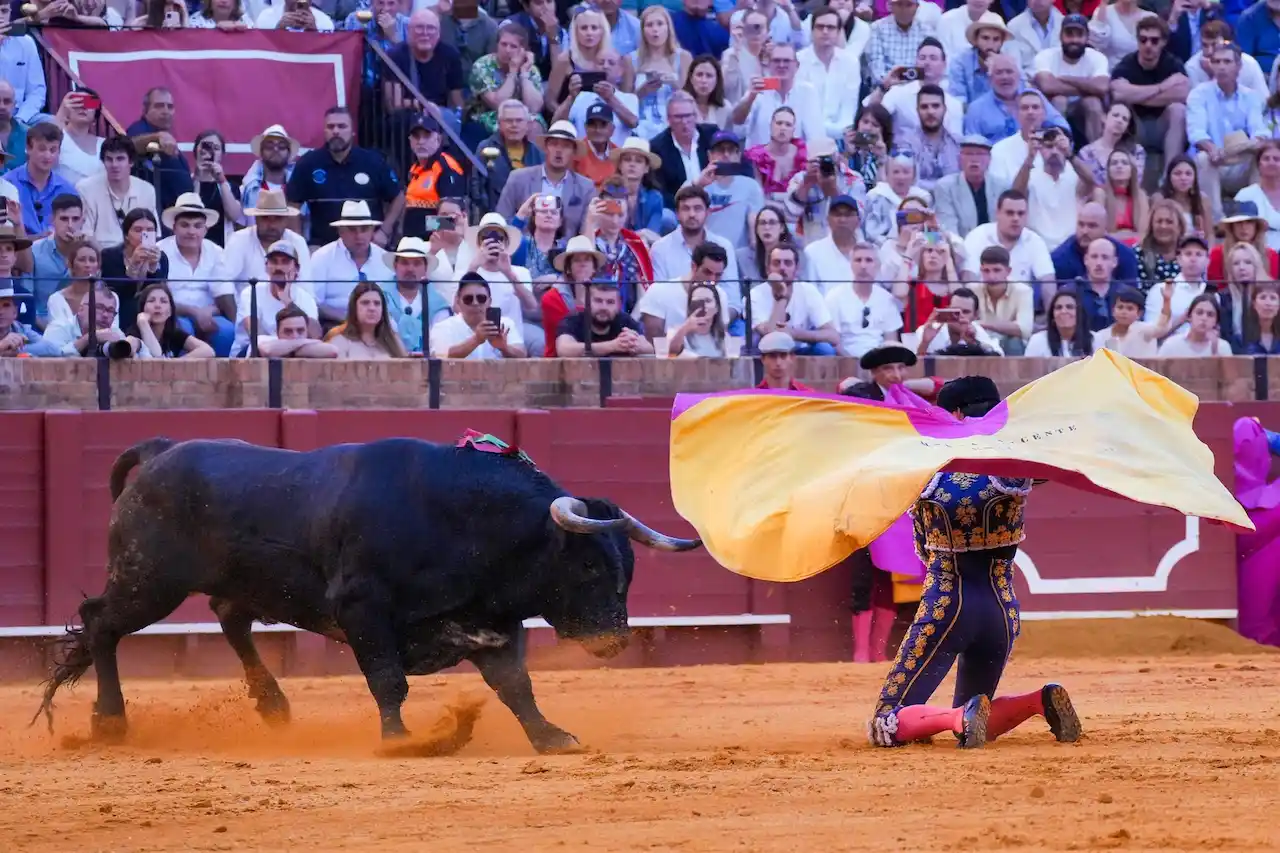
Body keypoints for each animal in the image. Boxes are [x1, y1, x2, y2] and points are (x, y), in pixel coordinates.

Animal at [30, 438, 706, 753]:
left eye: (627, 570)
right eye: (588, 565)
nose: (613, 641)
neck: (464, 524)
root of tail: (162, 452)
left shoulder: (491, 620)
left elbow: (516, 685)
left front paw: (551, 738)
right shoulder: (364, 612)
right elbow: (388, 680)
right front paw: (402, 741)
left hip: (220, 583)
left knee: (230, 620)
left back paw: (274, 707)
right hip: (149, 582)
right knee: (101, 624)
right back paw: (109, 721)